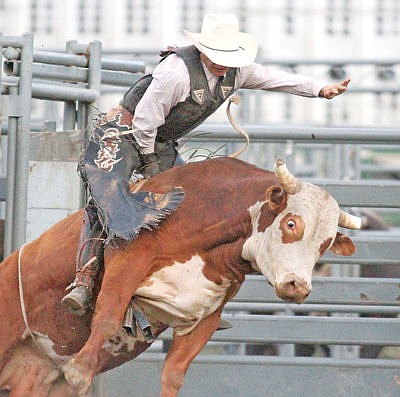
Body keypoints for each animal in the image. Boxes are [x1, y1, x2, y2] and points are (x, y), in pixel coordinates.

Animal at [0, 158, 360, 396]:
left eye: (325, 244)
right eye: (291, 223)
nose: (298, 286)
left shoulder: (205, 314)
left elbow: (174, 371)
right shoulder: (128, 260)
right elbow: (108, 315)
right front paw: (80, 370)